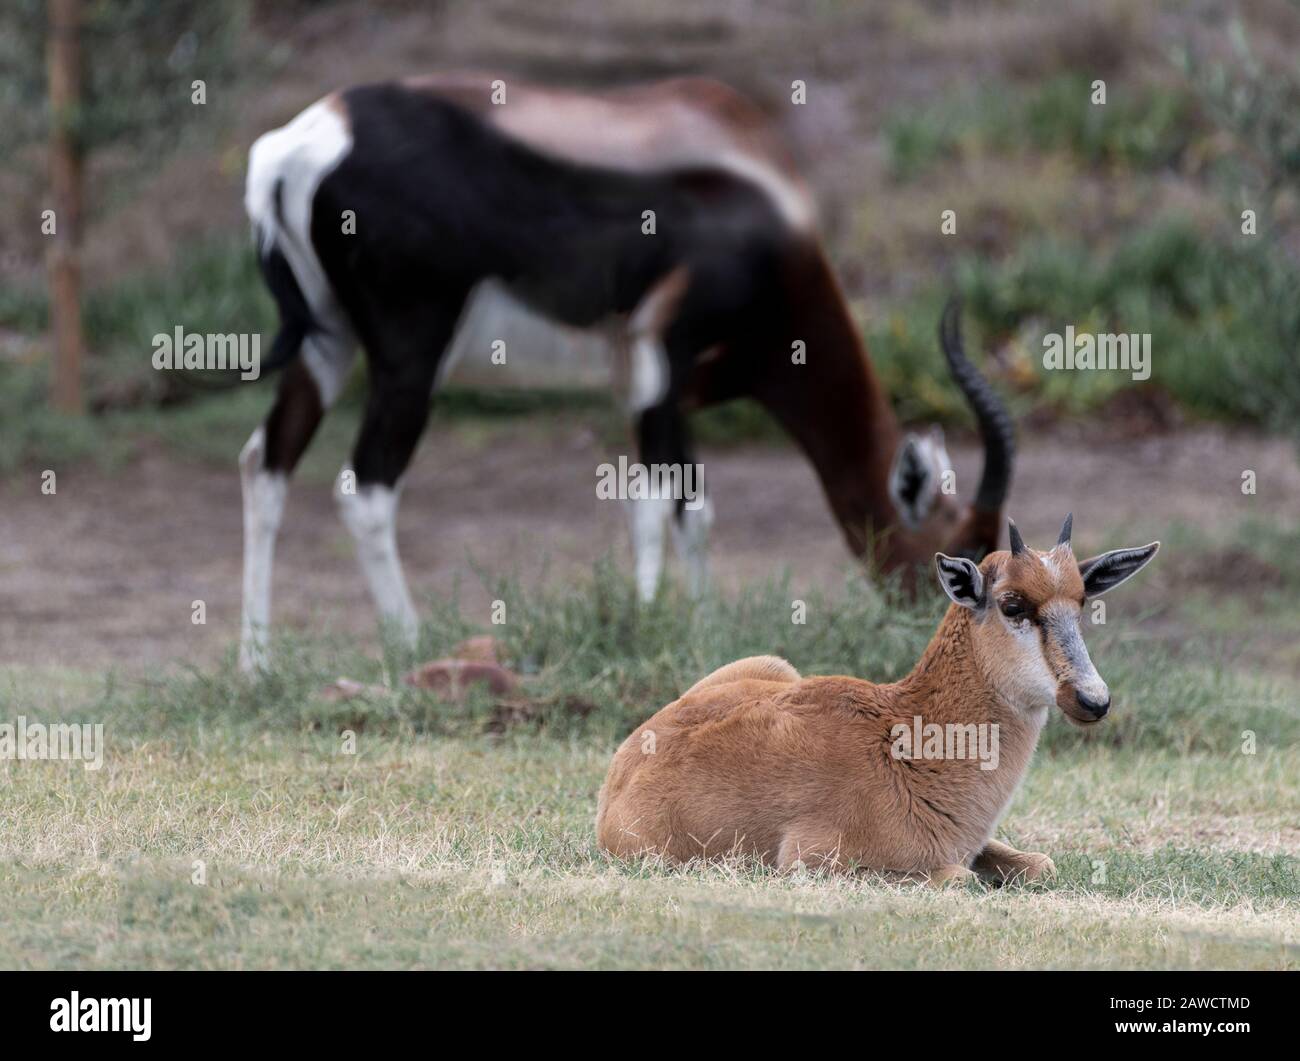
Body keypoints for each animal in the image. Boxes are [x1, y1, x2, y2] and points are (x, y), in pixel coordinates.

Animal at [598, 517, 1159, 884]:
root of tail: (622, 768)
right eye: (1012, 604)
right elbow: (960, 877)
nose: (1092, 699)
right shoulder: (814, 859)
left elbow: (1042, 865)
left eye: (1082, 602)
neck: (910, 748)